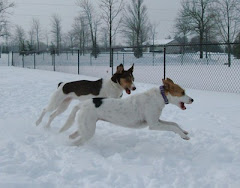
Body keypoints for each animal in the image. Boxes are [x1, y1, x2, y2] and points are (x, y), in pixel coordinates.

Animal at [62, 78, 194, 145]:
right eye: (182, 92)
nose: (192, 99)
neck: (159, 97)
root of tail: (82, 104)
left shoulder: (157, 120)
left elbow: (174, 123)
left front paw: (184, 132)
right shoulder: (153, 124)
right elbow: (172, 127)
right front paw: (183, 136)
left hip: (87, 126)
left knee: (75, 133)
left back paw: (71, 136)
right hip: (89, 131)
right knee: (76, 142)